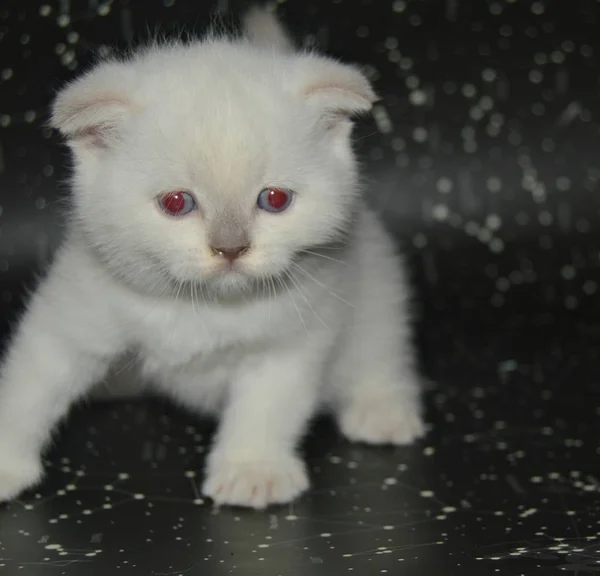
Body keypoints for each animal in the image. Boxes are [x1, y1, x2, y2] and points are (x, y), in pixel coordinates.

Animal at [0, 5, 424, 508]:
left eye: (275, 199)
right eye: (176, 203)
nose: (230, 247)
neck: (201, 306)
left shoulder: (292, 340)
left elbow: (267, 406)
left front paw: (253, 470)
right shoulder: (74, 309)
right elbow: (31, 382)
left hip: (375, 285)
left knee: (379, 349)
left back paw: (382, 410)